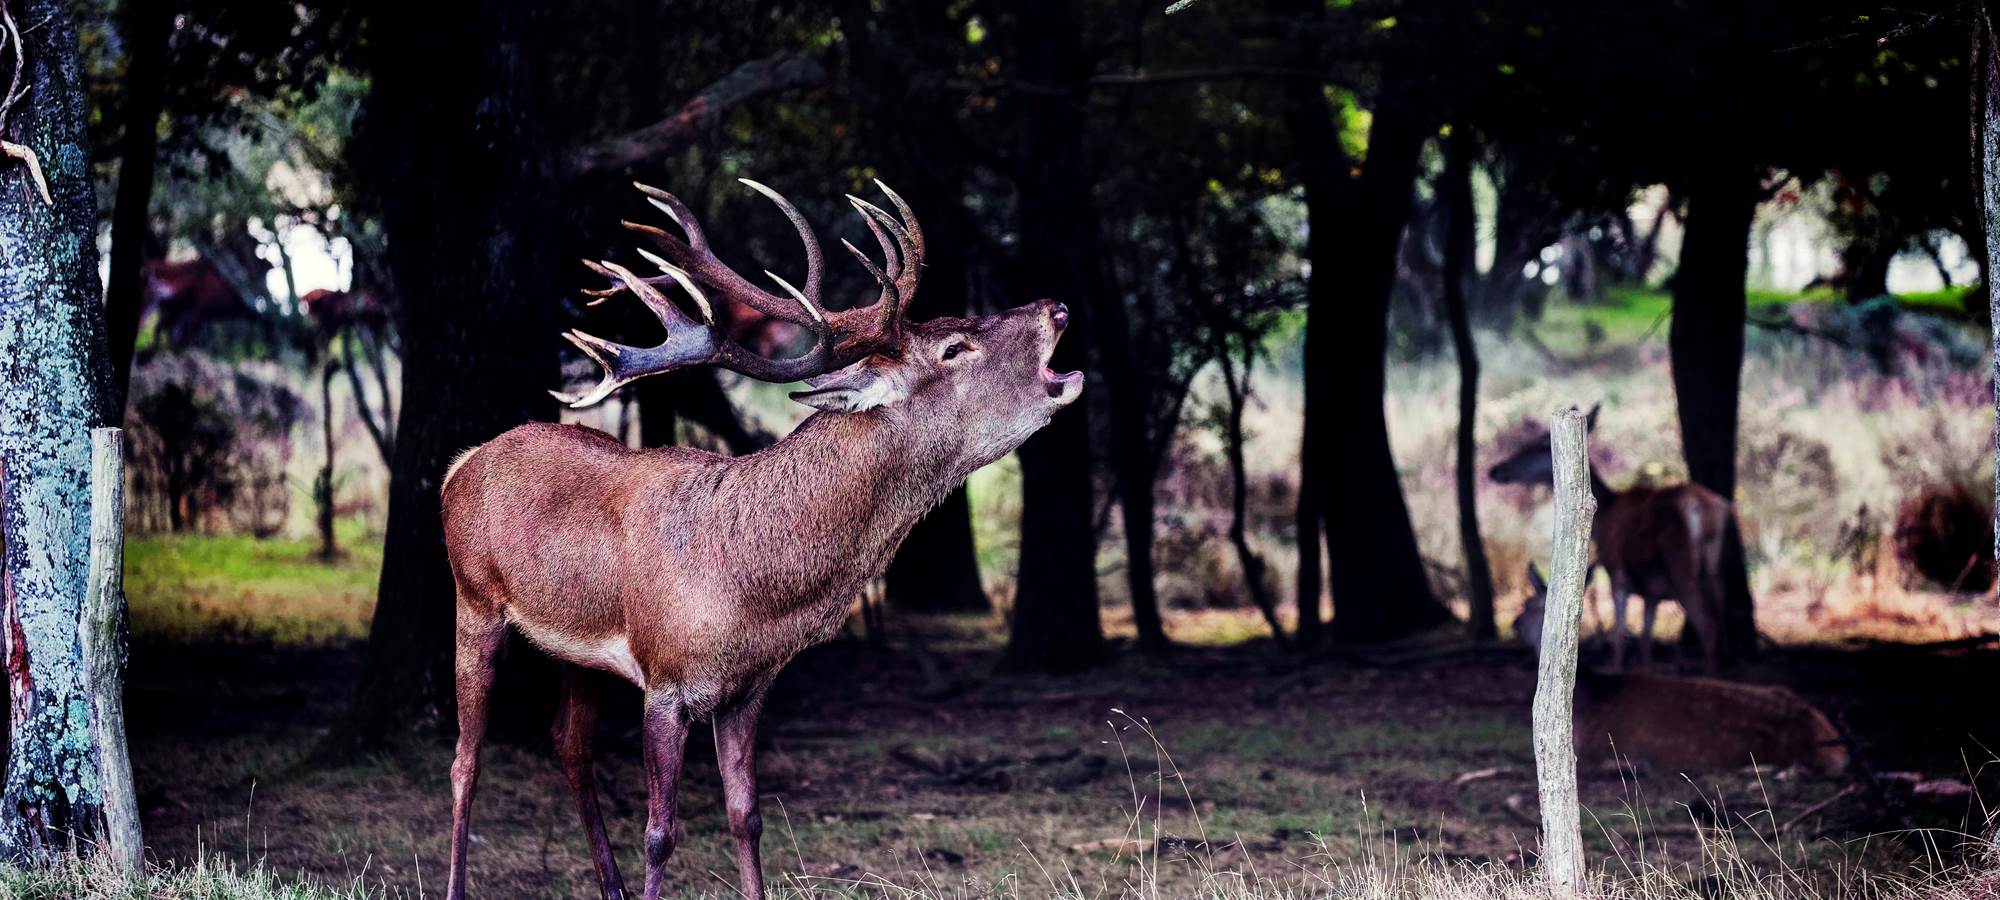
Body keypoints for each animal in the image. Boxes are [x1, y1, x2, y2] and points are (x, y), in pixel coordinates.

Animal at [439, 179, 1084, 900]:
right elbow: (661, 833)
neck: (753, 591)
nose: (1057, 306)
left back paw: (610, 886)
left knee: (568, 744)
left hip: (576, 649)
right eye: (954, 348)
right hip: (473, 598)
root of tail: (461, 463)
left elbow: (746, 816)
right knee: (464, 761)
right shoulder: (664, 680)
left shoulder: (748, 689)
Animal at [1488, 405, 1730, 671]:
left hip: (1681, 570)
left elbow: (1619, 638)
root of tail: (1707, 507)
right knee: (1720, 620)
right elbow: (1645, 642)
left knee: (1708, 626)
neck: (1605, 514)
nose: (1496, 470)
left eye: (1539, 445)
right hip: (1715, 572)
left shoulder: (1617, 575)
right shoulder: (1652, 593)